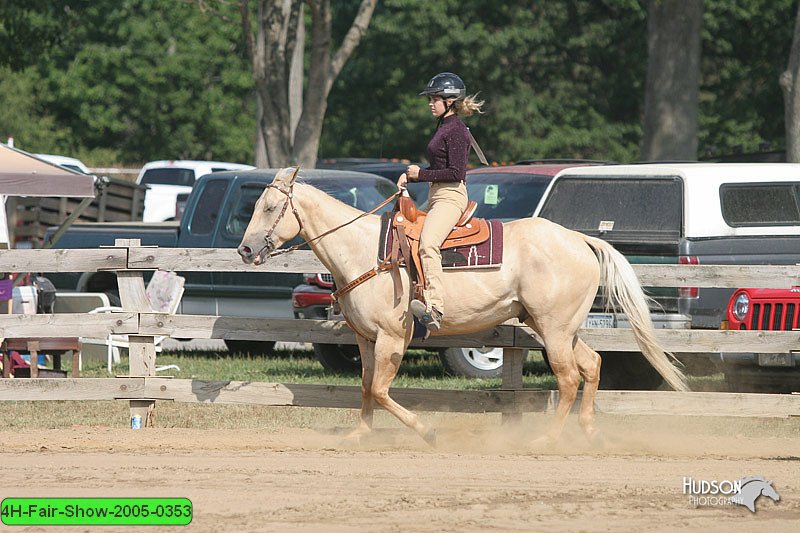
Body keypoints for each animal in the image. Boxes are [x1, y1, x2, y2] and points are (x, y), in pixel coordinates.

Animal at [236, 166, 688, 444]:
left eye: (271, 207)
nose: (245, 250)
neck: (364, 251)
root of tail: (579, 238)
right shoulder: (365, 338)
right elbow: (366, 388)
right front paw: (359, 436)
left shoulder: (392, 338)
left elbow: (381, 390)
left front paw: (428, 432)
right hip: (559, 327)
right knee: (592, 365)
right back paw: (589, 432)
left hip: (554, 329)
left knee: (568, 378)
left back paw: (548, 438)